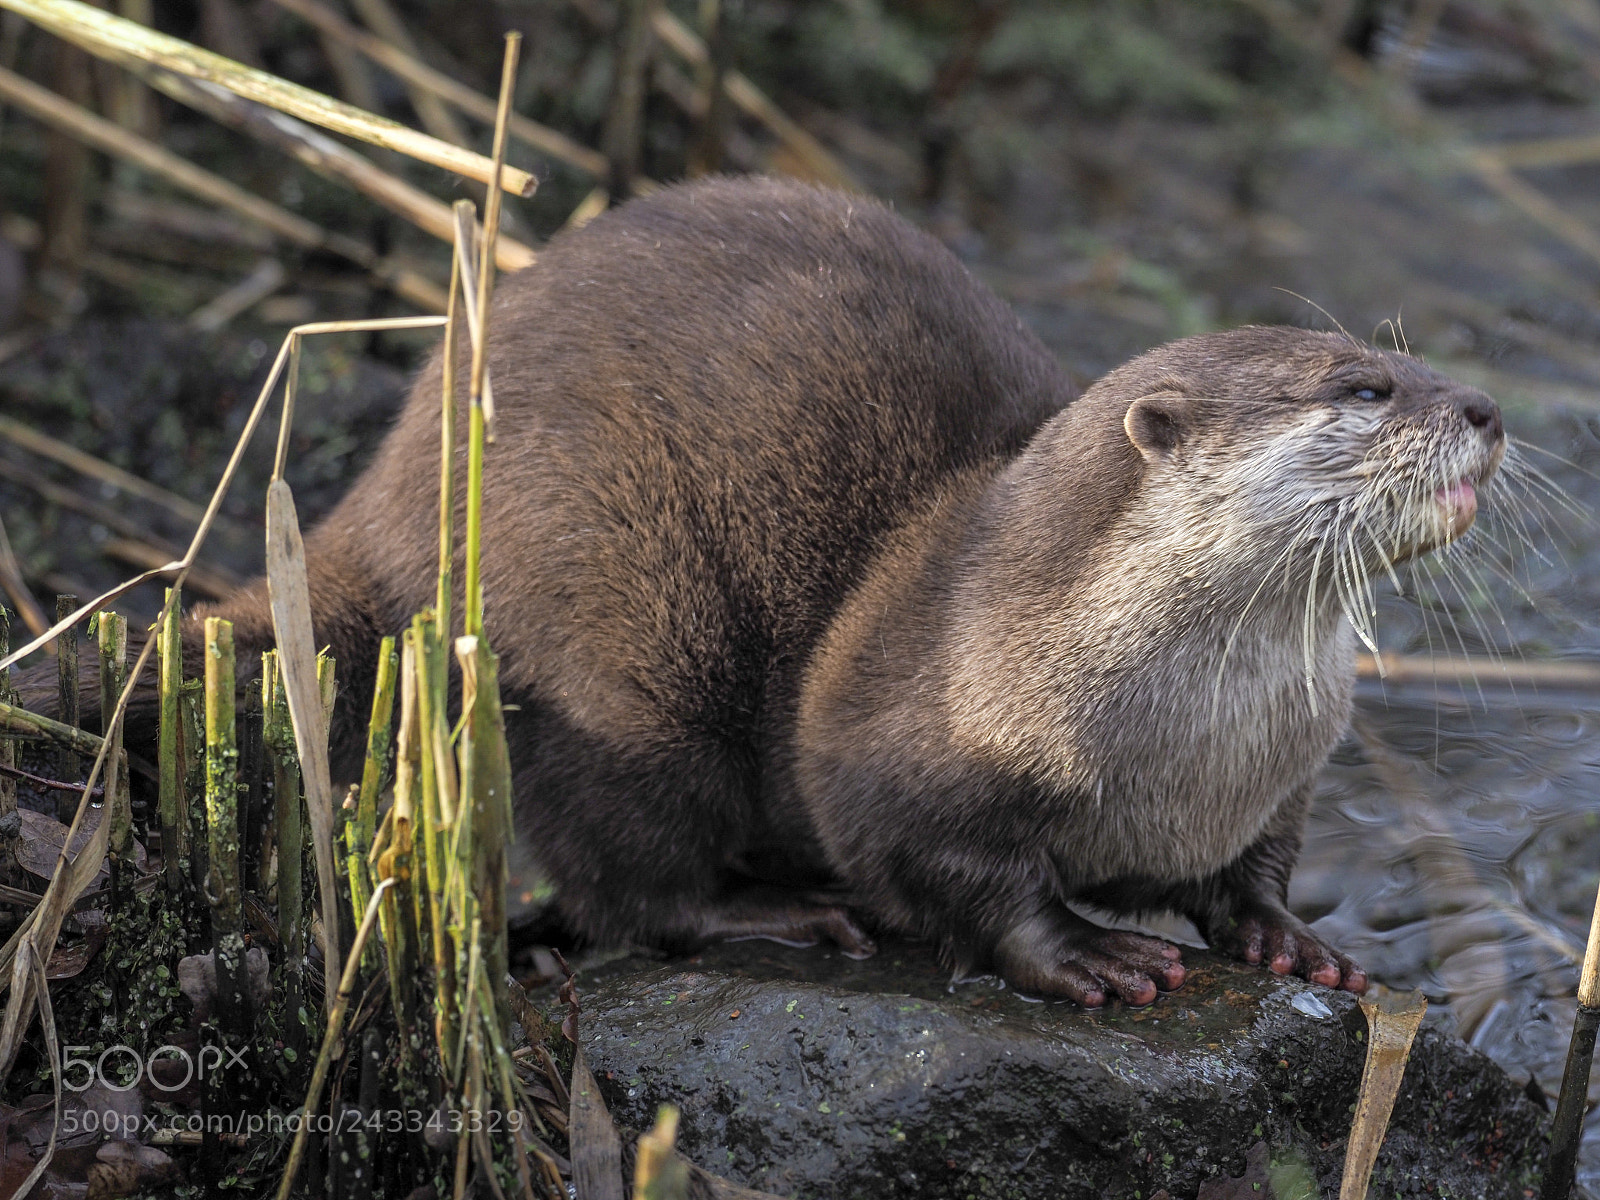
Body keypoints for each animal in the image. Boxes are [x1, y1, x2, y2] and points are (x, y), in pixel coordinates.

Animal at [25, 176, 1505, 1006]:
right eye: (1361, 388)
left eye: (1406, 359)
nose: (1486, 406)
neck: (1179, 747)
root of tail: (390, 493)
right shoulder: (894, 752)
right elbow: (952, 873)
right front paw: (1084, 951)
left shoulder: (1280, 778)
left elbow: (1261, 867)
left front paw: (1289, 941)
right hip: (617, 651)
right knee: (628, 878)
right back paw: (778, 914)